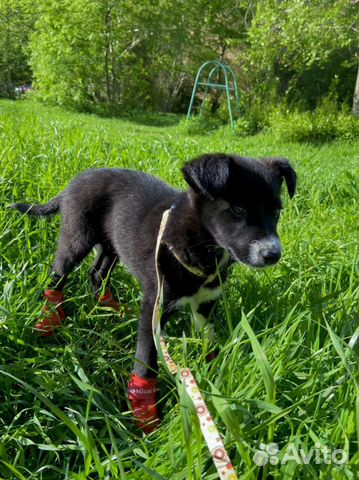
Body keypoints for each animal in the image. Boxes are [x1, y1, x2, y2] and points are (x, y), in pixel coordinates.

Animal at [12, 153, 296, 432]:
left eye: (276, 211)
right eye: (238, 210)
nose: (273, 254)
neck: (202, 246)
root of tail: (76, 180)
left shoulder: (205, 303)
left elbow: (209, 337)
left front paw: (215, 369)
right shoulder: (155, 305)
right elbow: (146, 358)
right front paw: (145, 410)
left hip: (112, 244)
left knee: (97, 273)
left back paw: (112, 307)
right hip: (77, 235)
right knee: (58, 273)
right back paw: (50, 317)